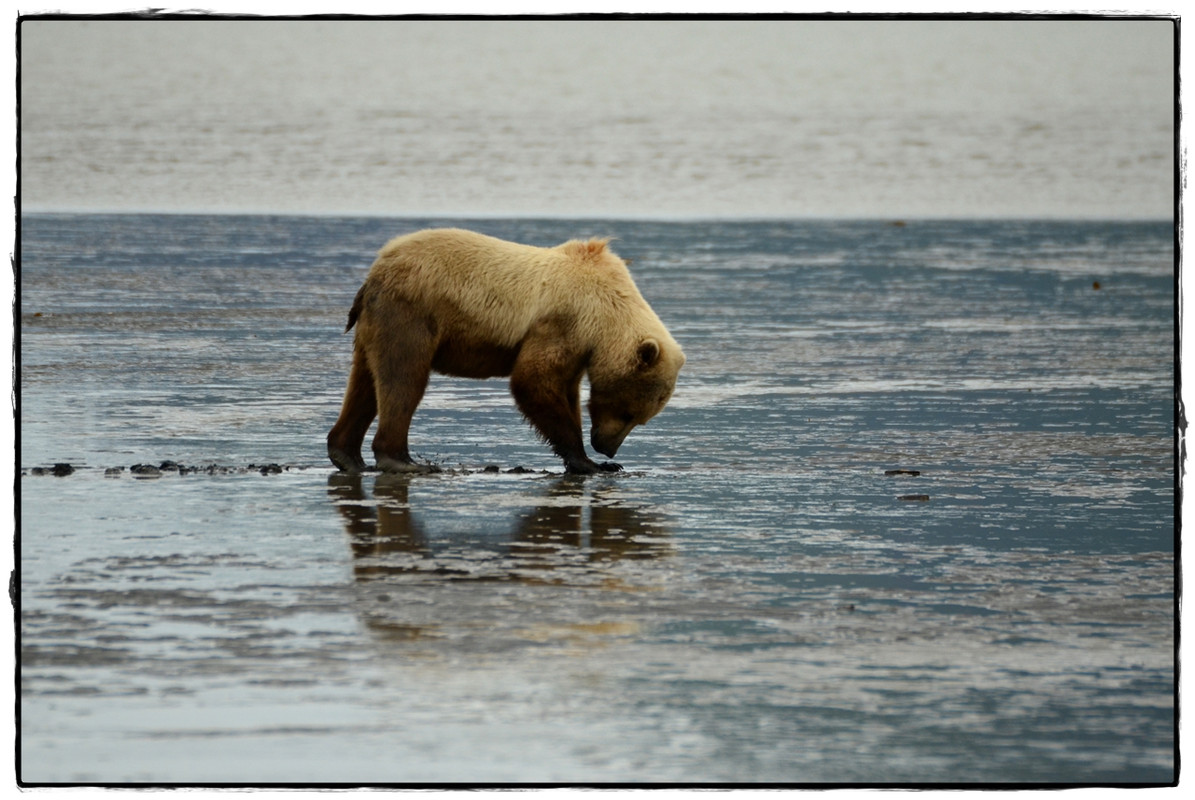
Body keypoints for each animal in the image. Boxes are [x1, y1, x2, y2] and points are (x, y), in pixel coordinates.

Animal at [325, 226, 683, 473]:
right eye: (629, 412)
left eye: (641, 419)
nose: (608, 449)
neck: (607, 315)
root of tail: (374, 274)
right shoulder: (562, 323)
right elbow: (532, 381)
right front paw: (589, 462)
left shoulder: (578, 348)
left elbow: (565, 390)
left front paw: (600, 463)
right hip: (410, 314)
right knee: (404, 379)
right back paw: (404, 460)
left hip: (375, 326)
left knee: (365, 383)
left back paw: (347, 455)